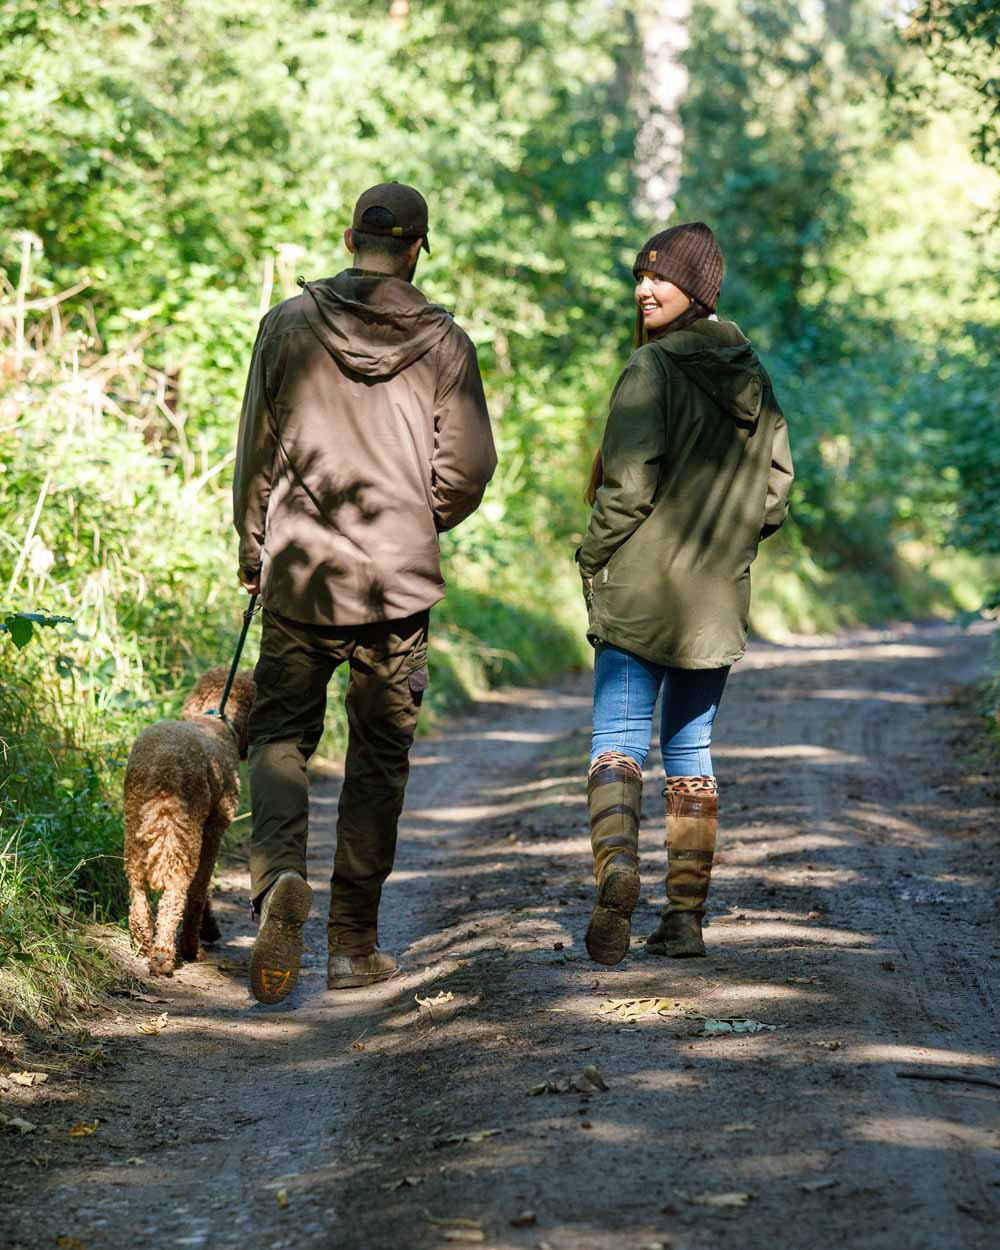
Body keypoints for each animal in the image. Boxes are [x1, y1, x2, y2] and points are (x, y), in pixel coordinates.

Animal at [123, 665, 256, 975]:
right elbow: (199, 888)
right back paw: (169, 952)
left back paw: (144, 939)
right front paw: (198, 936)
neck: (217, 717)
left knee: (137, 885)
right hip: (184, 829)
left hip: (136, 826)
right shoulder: (214, 828)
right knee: (176, 889)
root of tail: (163, 764)